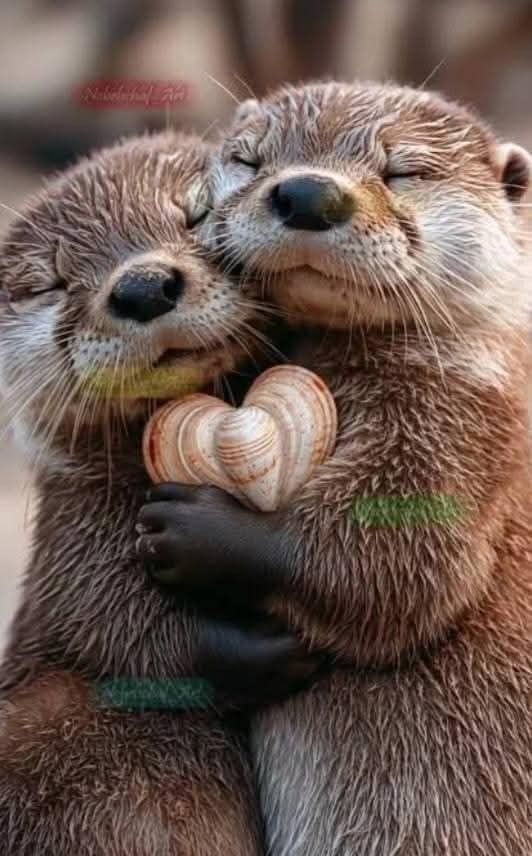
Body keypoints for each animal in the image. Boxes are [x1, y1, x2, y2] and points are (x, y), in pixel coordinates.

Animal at [138, 83, 532, 854]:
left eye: (402, 171)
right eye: (251, 158)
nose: (307, 193)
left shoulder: (467, 414)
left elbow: (400, 559)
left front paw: (196, 531)